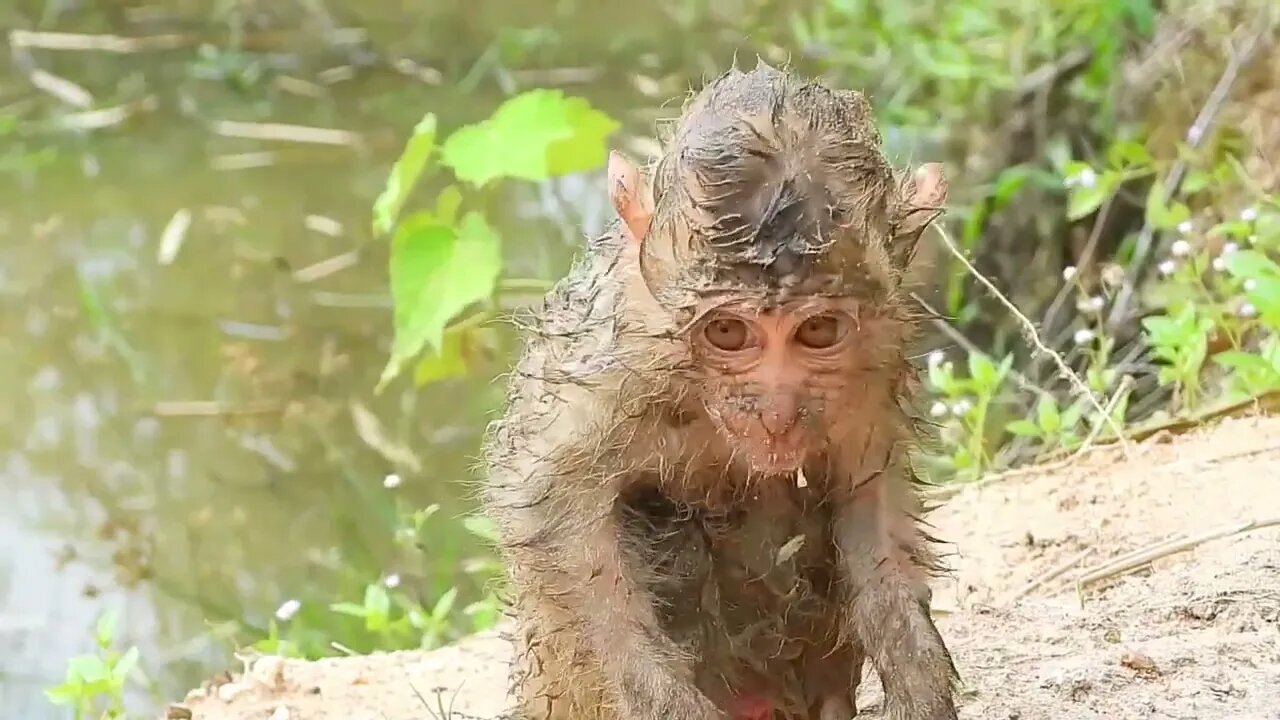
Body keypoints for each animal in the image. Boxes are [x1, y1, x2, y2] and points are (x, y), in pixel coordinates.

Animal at [481, 63, 962, 717]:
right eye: (729, 332)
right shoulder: (610, 368)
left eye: (818, 331)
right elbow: (548, 503)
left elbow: (867, 489)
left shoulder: (876, 361)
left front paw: (918, 683)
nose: (775, 412)